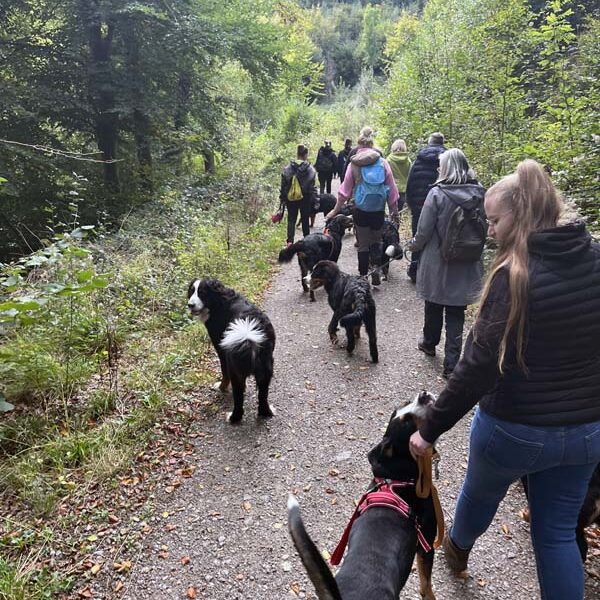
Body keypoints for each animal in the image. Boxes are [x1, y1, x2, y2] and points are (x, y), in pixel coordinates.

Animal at [186, 278, 276, 424]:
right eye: (191, 291)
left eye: (202, 293)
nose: (190, 305)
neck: (220, 300)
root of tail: (248, 334)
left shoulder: (221, 351)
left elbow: (224, 373)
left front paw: (221, 387)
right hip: (266, 367)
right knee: (262, 396)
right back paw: (266, 412)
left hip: (235, 368)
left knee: (238, 399)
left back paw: (233, 417)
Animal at [288, 392, 442, 596]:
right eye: (407, 423)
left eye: (407, 402)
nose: (423, 395)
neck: (399, 474)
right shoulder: (426, 545)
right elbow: (426, 587)